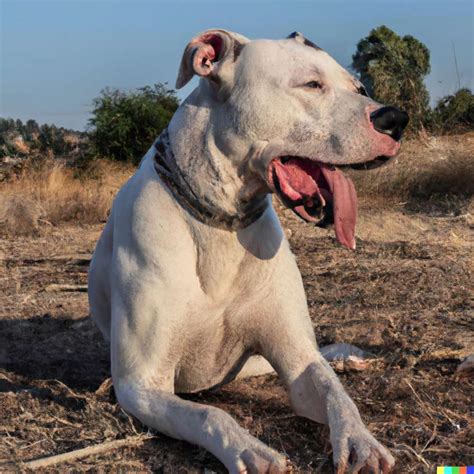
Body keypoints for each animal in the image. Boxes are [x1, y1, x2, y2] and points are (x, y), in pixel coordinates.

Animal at [88, 30, 408, 474]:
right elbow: (210, 415)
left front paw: (362, 440)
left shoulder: (297, 359)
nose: (396, 119)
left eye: (359, 88)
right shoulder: (141, 385)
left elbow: (334, 391)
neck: (221, 223)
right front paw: (251, 452)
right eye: (311, 84)